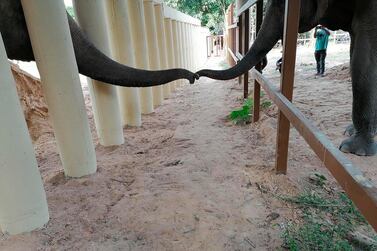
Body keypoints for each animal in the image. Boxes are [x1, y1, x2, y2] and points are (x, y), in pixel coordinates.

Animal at [197, 0, 376, 156]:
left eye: (281, 4)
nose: (195, 75)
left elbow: (364, 56)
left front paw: (352, 150)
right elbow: (355, 53)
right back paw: (350, 130)